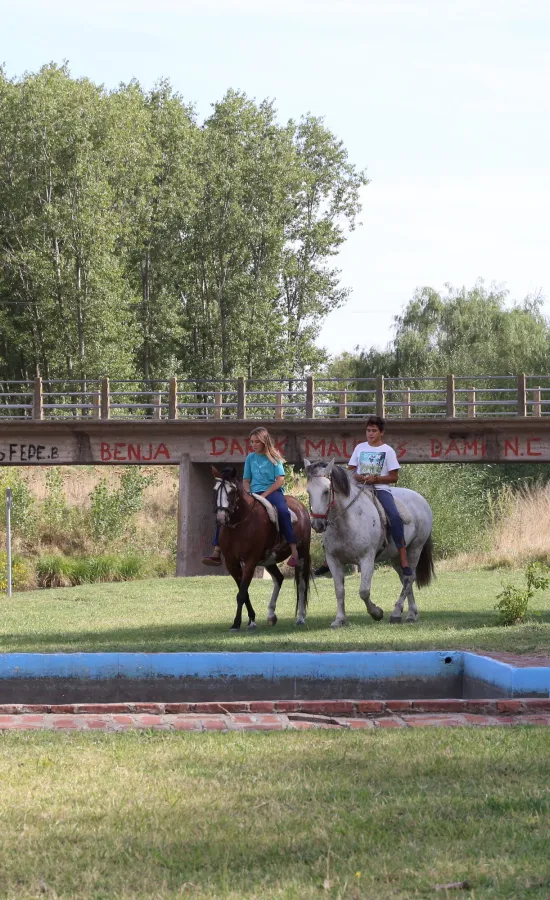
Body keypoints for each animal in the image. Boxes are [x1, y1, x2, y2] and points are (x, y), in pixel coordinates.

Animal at [213, 468, 312, 628]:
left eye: (232, 491)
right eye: (215, 490)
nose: (221, 517)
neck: (240, 525)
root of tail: (300, 506)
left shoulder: (250, 561)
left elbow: (242, 594)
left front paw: (238, 623)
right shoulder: (232, 563)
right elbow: (244, 592)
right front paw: (250, 619)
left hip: (302, 554)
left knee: (302, 584)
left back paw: (301, 617)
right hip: (269, 560)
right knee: (279, 578)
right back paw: (271, 615)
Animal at [306, 458, 436, 624]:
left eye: (326, 491)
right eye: (308, 492)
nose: (317, 524)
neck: (347, 521)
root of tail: (421, 500)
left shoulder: (367, 559)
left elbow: (364, 591)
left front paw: (376, 613)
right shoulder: (333, 560)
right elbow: (339, 590)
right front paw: (339, 620)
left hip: (415, 549)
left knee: (409, 578)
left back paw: (397, 613)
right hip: (396, 556)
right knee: (404, 578)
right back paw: (411, 613)